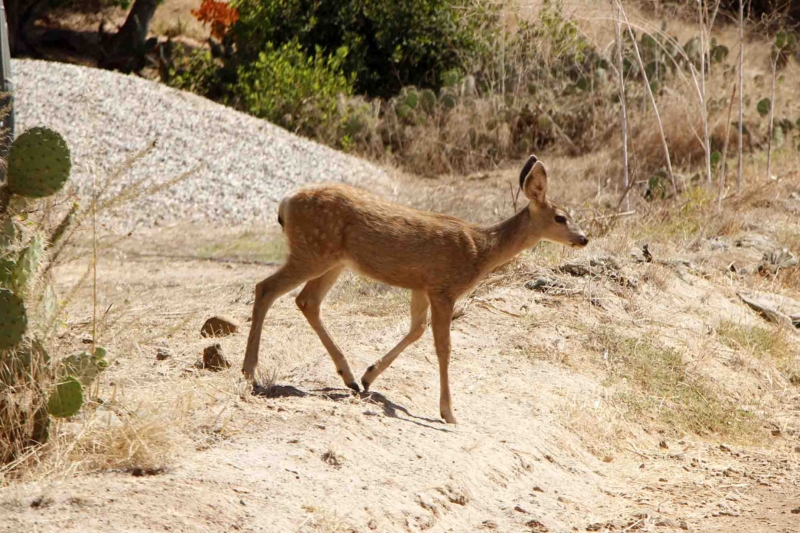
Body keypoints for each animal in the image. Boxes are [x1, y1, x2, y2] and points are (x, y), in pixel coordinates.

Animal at [242, 155, 588, 424]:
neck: (480, 250)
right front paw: (448, 412)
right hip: (312, 250)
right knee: (266, 288)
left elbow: (416, 330)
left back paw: (350, 377)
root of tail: (285, 203)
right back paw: (249, 371)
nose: (584, 238)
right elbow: (443, 347)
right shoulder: (444, 288)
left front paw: (369, 375)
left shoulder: (422, 286)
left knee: (307, 300)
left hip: (333, 260)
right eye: (561, 217)